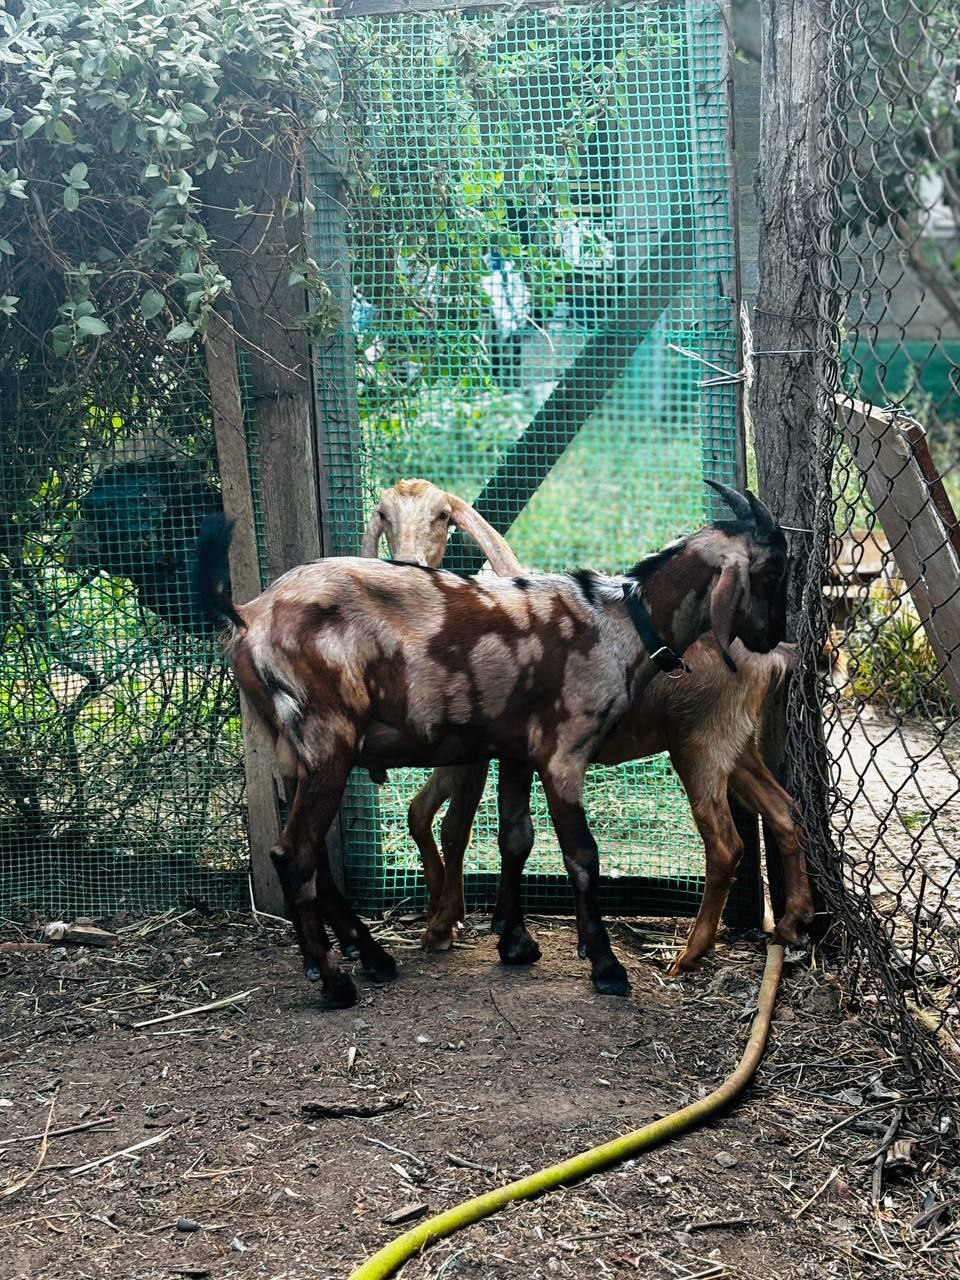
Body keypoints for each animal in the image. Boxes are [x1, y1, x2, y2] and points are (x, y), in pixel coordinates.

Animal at [197, 481, 788, 1008]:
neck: (619, 623)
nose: (772, 637)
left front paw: (517, 942)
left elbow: (516, 837)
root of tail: (250, 613)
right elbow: (581, 854)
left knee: (311, 850)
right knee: (294, 852)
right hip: (327, 737)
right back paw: (335, 980)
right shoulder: (563, 751)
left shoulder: (518, 751)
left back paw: (372, 957)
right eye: (772, 571)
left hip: (289, 747)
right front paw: (604, 965)